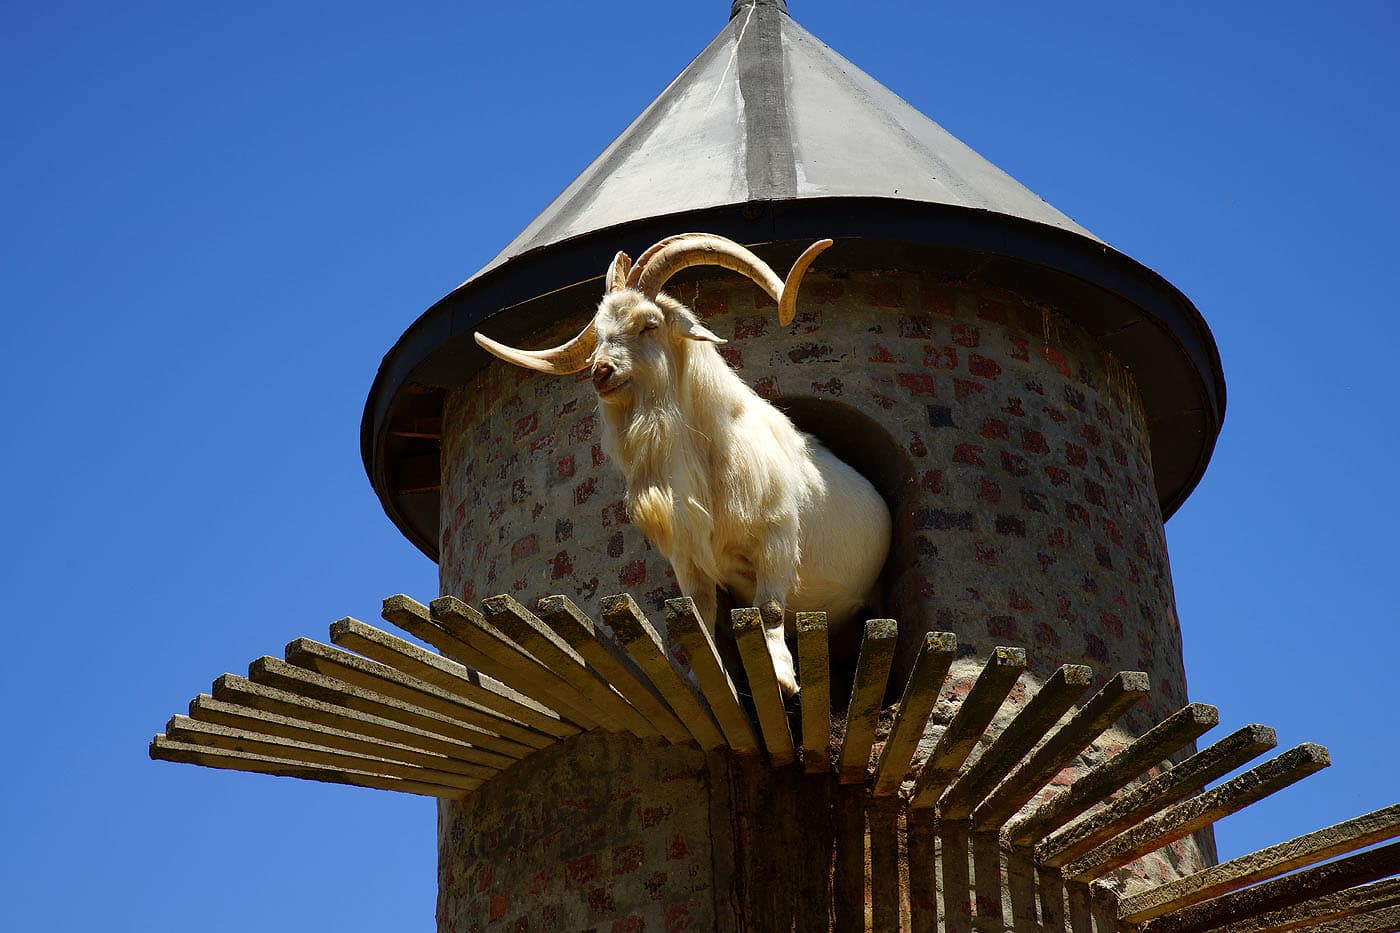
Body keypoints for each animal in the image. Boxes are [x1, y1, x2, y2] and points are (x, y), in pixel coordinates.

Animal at [475, 233, 891, 696]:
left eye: (649, 324)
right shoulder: (689, 558)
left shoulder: (776, 539)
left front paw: (782, 678)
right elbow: (700, 620)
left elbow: (769, 609)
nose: (601, 372)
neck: (709, 454)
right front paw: (705, 679)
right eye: (600, 333)